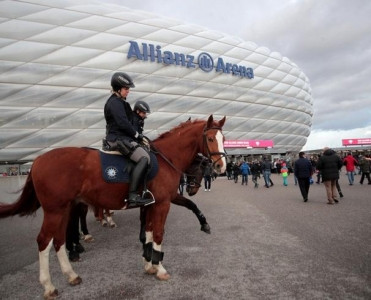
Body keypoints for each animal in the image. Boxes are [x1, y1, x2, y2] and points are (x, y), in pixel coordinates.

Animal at [0, 114, 227, 298]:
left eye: (223, 139)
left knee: (59, 240)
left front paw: (149, 264)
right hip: (55, 210)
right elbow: (158, 233)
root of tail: (38, 160)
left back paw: (71, 275)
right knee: (44, 241)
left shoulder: (152, 204)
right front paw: (159, 268)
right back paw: (49, 286)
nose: (221, 166)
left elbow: (149, 231)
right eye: (210, 139)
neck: (166, 158)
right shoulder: (162, 203)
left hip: (64, 209)